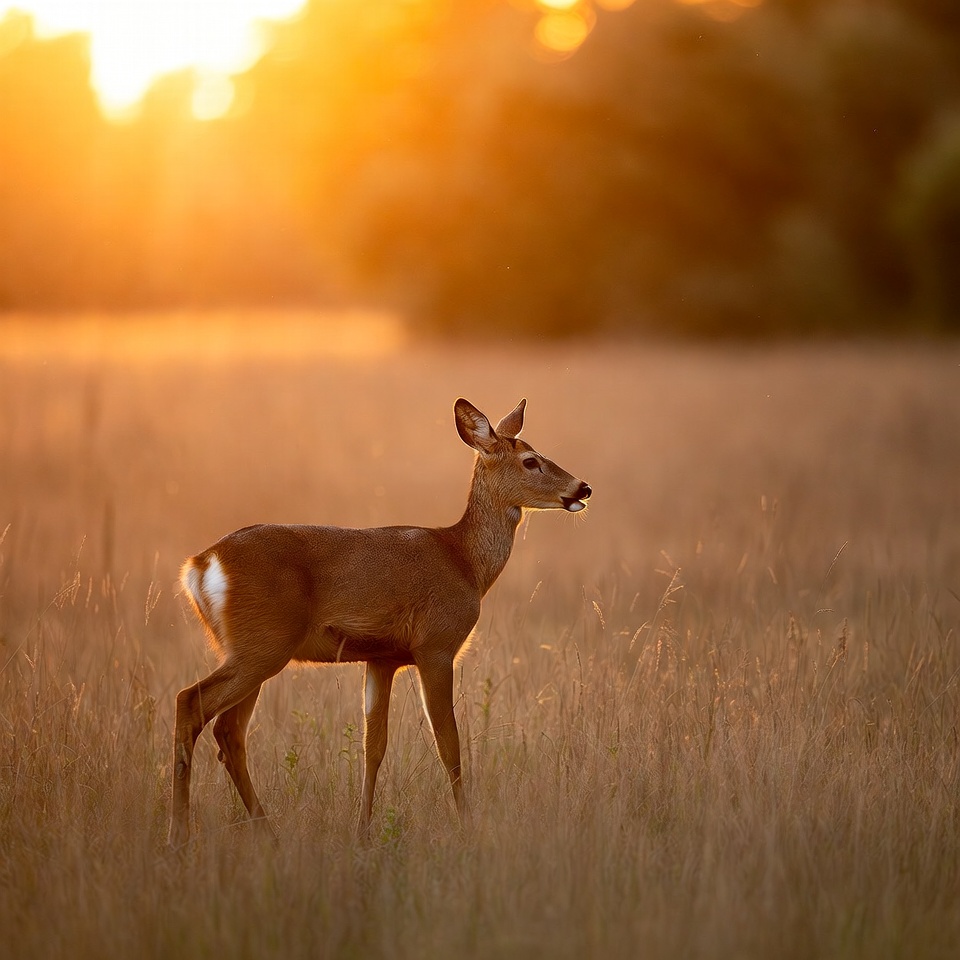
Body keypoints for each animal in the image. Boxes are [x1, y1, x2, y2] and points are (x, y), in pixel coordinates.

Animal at [169, 398, 591, 847]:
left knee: (229, 732)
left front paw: (363, 830)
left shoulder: (381, 659)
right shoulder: (436, 646)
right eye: (531, 461)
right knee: (191, 703)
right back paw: (179, 834)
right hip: (262, 645)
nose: (582, 488)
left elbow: (374, 746)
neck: (464, 561)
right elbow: (449, 743)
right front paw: (467, 825)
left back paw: (266, 830)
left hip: (252, 649)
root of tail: (200, 564)